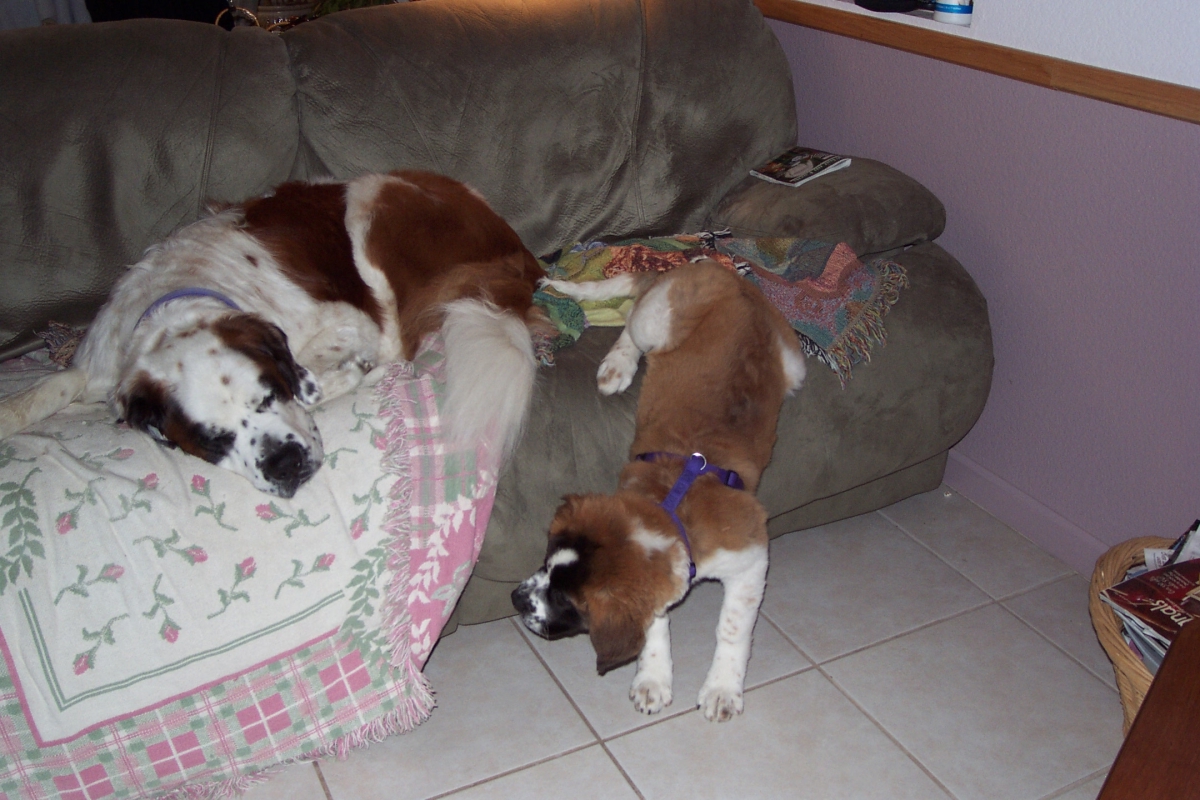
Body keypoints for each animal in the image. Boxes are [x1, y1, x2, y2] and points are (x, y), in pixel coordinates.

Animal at [0, 170, 552, 497]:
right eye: (212, 439)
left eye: (268, 396)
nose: (284, 463)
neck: (174, 303)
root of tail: (521, 255)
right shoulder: (104, 364)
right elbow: (51, 386)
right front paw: (13, 411)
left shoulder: (349, 321)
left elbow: (325, 369)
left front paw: (347, 375)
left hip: (373, 202)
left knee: (402, 339)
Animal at [512, 259, 806, 721]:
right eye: (546, 563)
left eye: (567, 601)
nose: (516, 599)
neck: (673, 506)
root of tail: (720, 269)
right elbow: (655, 623)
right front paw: (653, 678)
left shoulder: (752, 557)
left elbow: (731, 627)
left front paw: (722, 688)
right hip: (660, 321)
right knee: (636, 306)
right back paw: (615, 364)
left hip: (792, 364)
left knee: (640, 294)